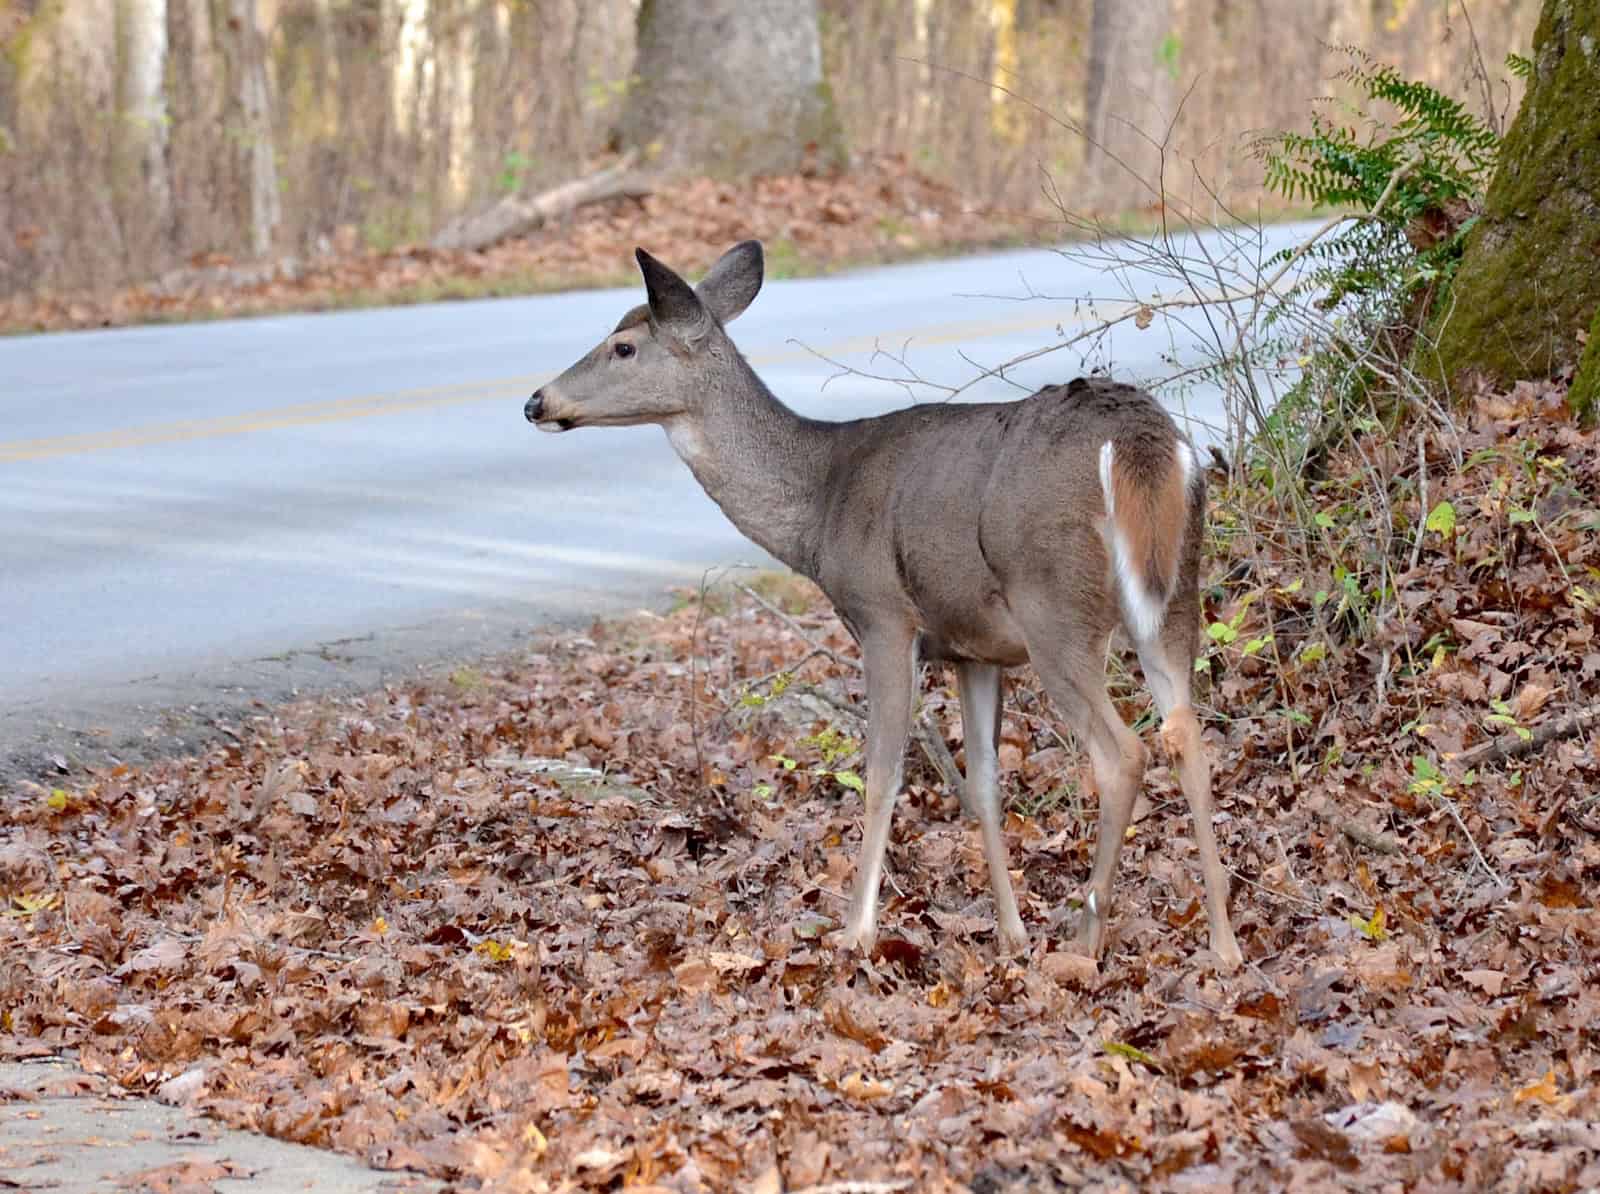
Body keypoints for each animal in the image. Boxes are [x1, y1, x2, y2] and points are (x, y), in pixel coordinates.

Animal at [524, 240, 1248, 966]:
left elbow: (882, 773)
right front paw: (1011, 933)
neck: (820, 505)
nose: (535, 400)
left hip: (1056, 605)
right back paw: (1222, 942)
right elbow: (982, 783)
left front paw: (856, 930)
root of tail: (1140, 442)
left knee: (1124, 753)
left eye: (623, 346)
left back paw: (1090, 930)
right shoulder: (973, 649)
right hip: (1174, 595)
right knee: (1187, 734)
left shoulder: (884, 617)